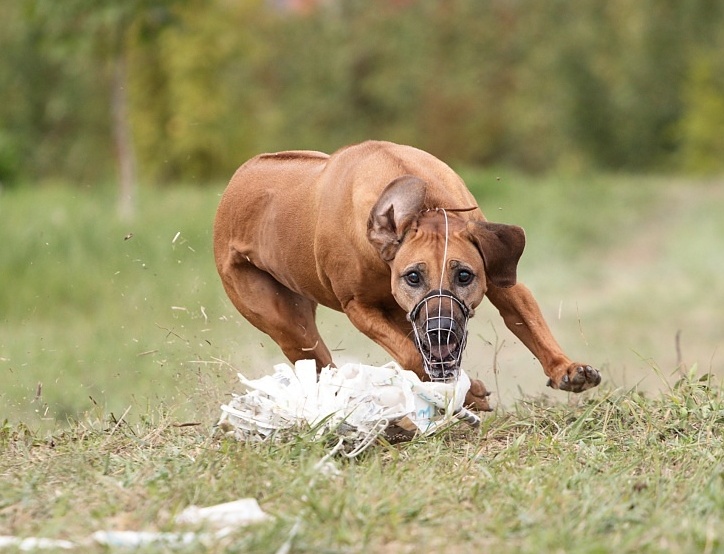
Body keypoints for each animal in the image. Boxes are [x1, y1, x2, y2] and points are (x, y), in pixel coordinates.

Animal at [215, 141, 600, 410]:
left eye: (464, 275)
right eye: (413, 277)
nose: (441, 331)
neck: (423, 207)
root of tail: (233, 185)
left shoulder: (498, 274)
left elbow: (531, 324)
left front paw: (566, 369)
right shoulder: (360, 307)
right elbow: (412, 357)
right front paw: (470, 393)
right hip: (287, 325)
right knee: (321, 359)